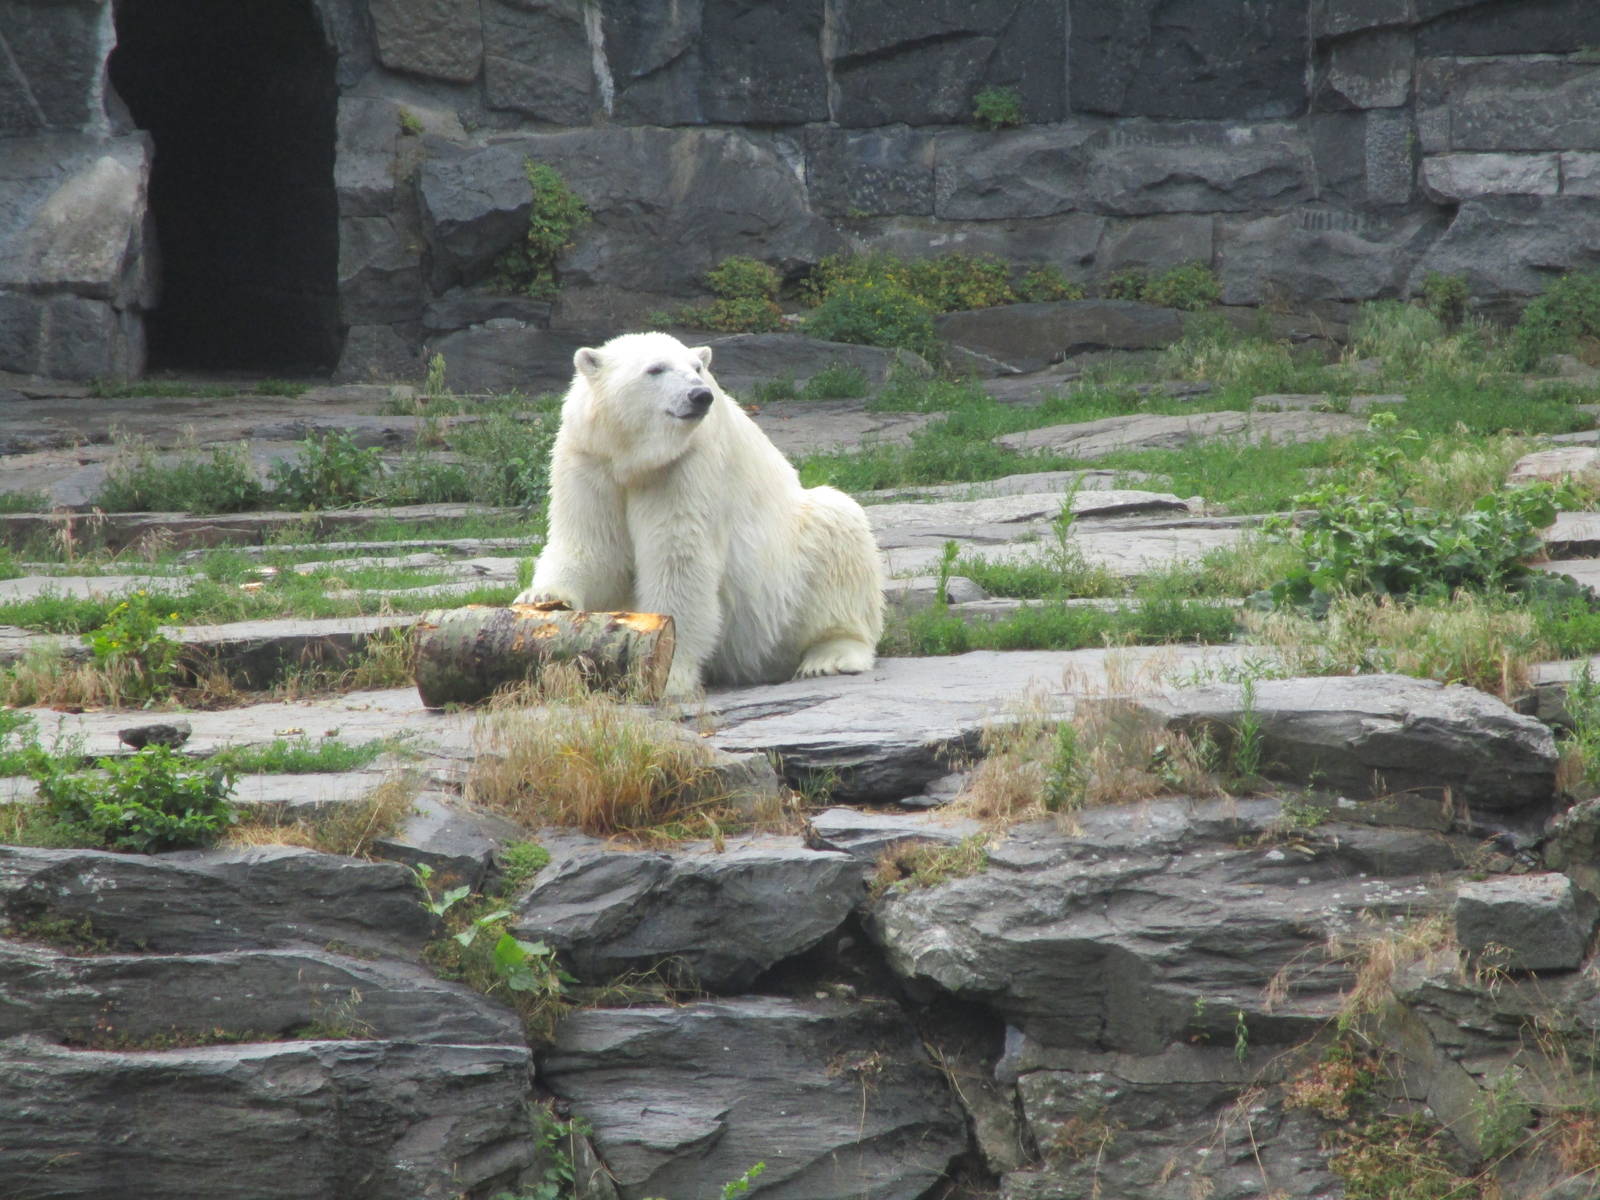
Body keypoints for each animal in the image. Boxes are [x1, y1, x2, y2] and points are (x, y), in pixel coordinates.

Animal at [514, 331, 884, 698]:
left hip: (792, 574)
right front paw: (542, 596)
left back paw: (830, 655)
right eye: (655, 369)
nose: (700, 395)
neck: (633, 460)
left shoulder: (688, 465)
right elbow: (592, 543)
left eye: (697, 368)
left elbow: (679, 559)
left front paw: (671, 673)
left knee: (839, 529)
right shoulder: (589, 458)